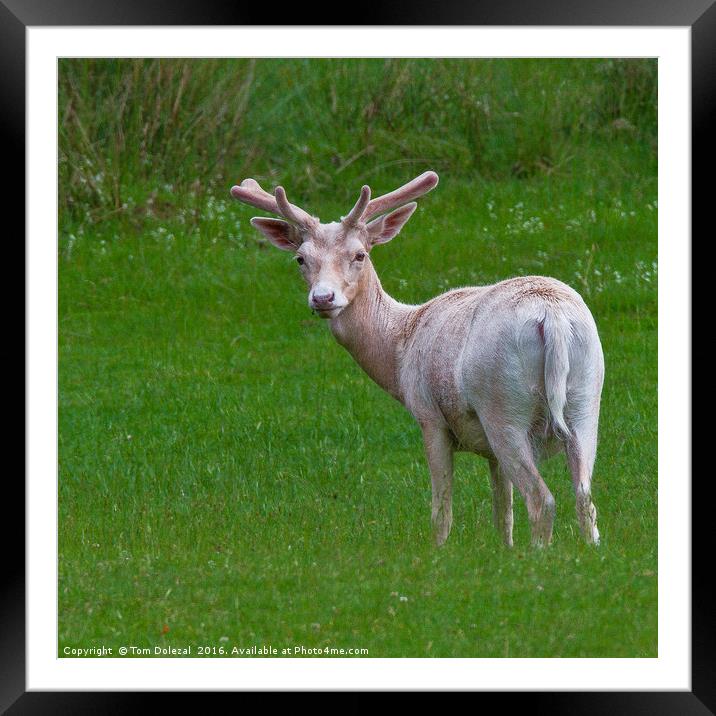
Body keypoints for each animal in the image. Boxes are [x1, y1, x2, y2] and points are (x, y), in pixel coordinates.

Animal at [231, 171, 604, 544]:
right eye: (301, 258)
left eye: (359, 255)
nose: (323, 298)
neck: (400, 349)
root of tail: (553, 318)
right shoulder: (489, 450)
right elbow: (503, 514)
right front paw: (506, 551)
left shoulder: (429, 416)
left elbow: (442, 511)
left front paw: (439, 550)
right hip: (586, 396)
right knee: (584, 497)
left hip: (502, 405)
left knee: (542, 499)